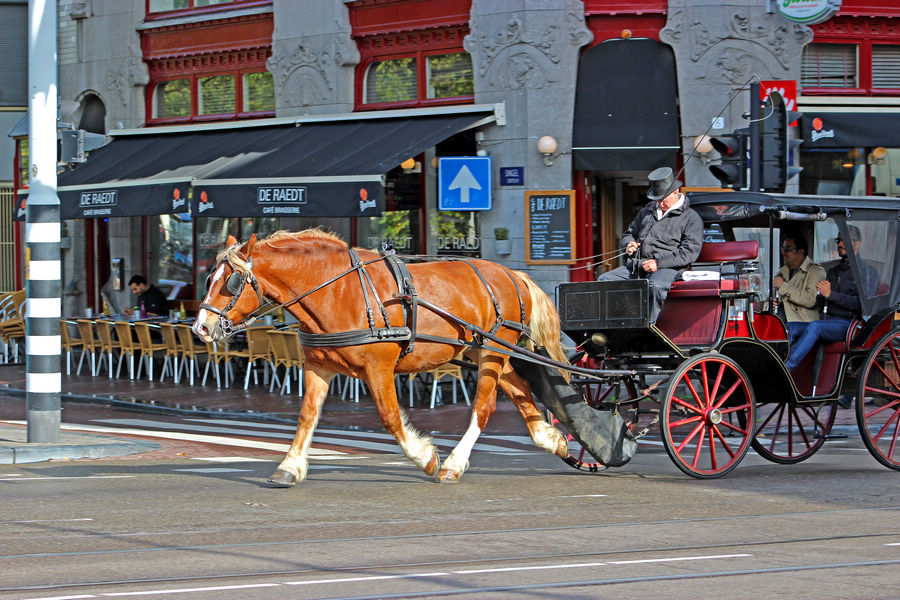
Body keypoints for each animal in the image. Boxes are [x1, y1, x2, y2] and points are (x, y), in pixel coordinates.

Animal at [192, 230, 568, 488]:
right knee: (519, 390)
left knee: (483, 406)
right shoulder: (319, 366)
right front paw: (289, 467)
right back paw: (551, 439)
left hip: (493, 350)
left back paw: (453, 464)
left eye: (231, 282)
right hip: (484, 352)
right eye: (209, 277)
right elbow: (307, 416)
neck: (336, 291)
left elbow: (390, 418)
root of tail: (512, 274)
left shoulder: (378, 368)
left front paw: (426, 458)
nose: (200, 328)